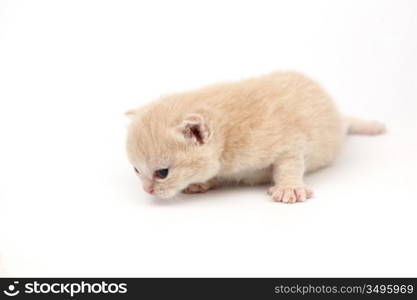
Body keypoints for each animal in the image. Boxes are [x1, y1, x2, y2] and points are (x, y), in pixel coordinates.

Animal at [125, 71, 386, 203]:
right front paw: (201, 182)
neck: (228, 136)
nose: (147, 191)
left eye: (162, 173)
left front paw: (289, 188)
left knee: (347, 123)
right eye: (136, 171)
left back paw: (372, 126)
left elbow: (289, 164)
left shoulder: (289, 141)